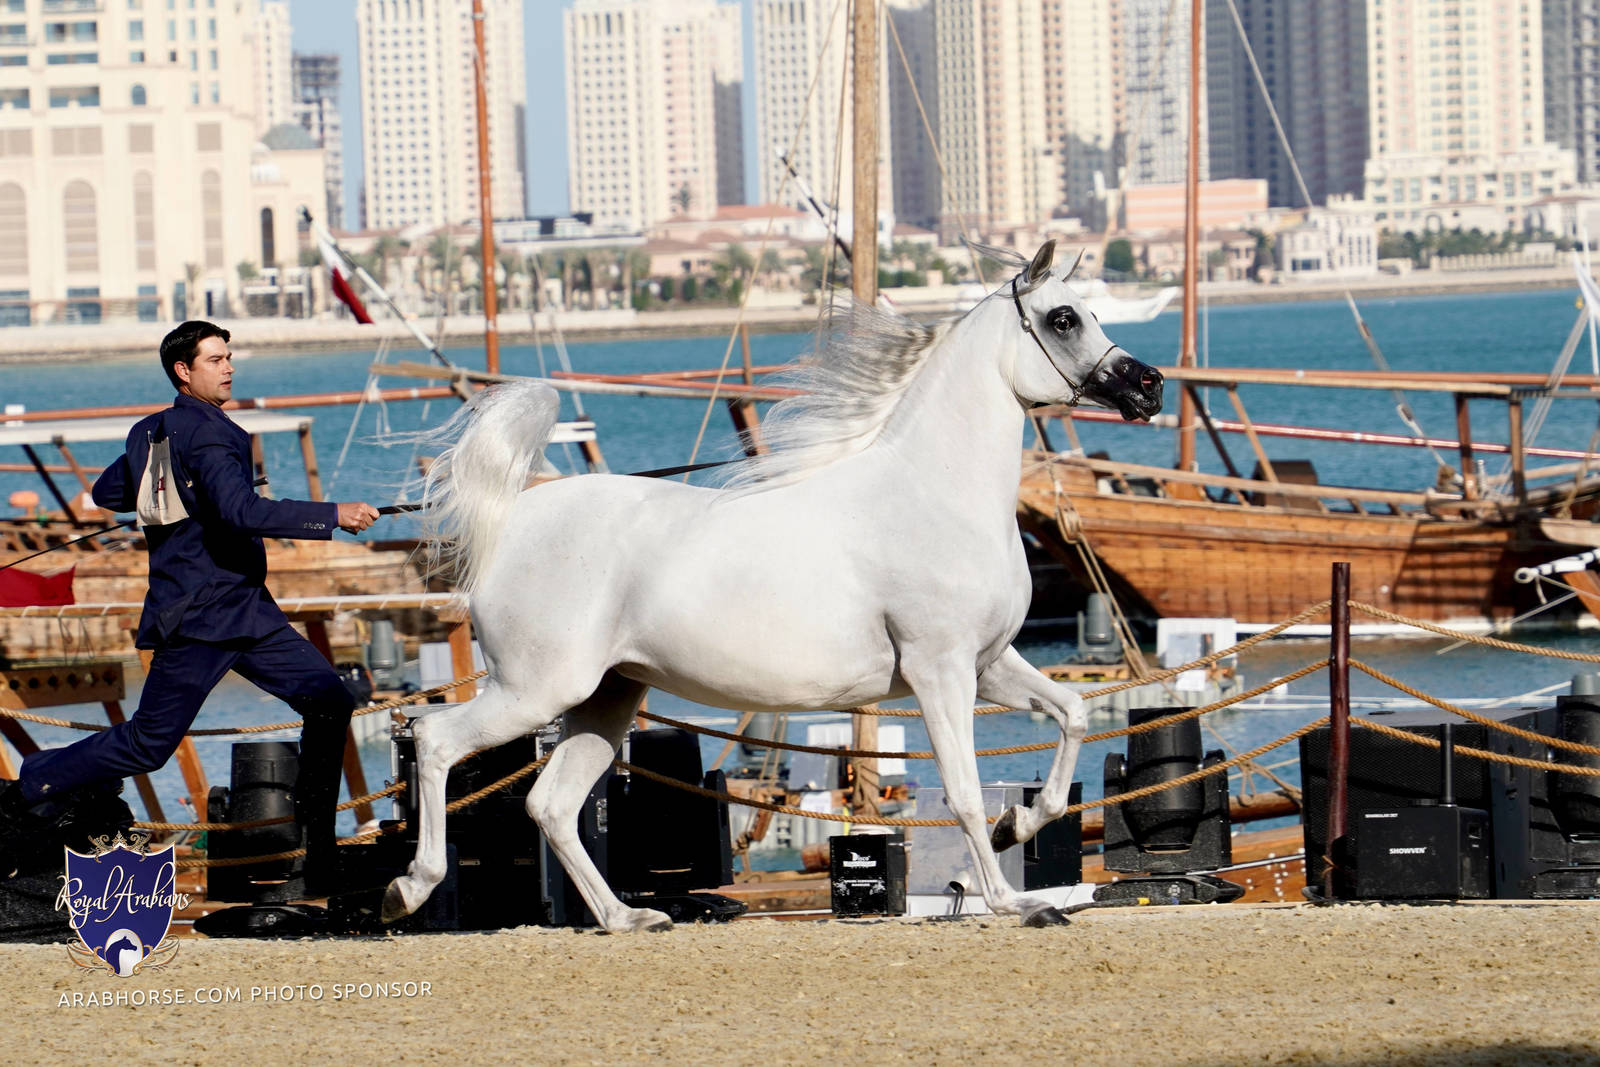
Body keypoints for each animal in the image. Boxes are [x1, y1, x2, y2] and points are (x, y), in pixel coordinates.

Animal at [382, 240, 1164, 931]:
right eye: (1063, 318)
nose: (1147, 385)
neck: (933, 493)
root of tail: (515, 518)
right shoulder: (940, 671)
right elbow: (964, 792)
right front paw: (1013, 901)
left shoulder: (989, 663)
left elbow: (1072, 714)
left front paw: (1018, 825)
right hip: (536, 690)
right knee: (436, 740)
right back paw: (407, 889)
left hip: (606, 697)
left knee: (550, 803)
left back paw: (629, 917)